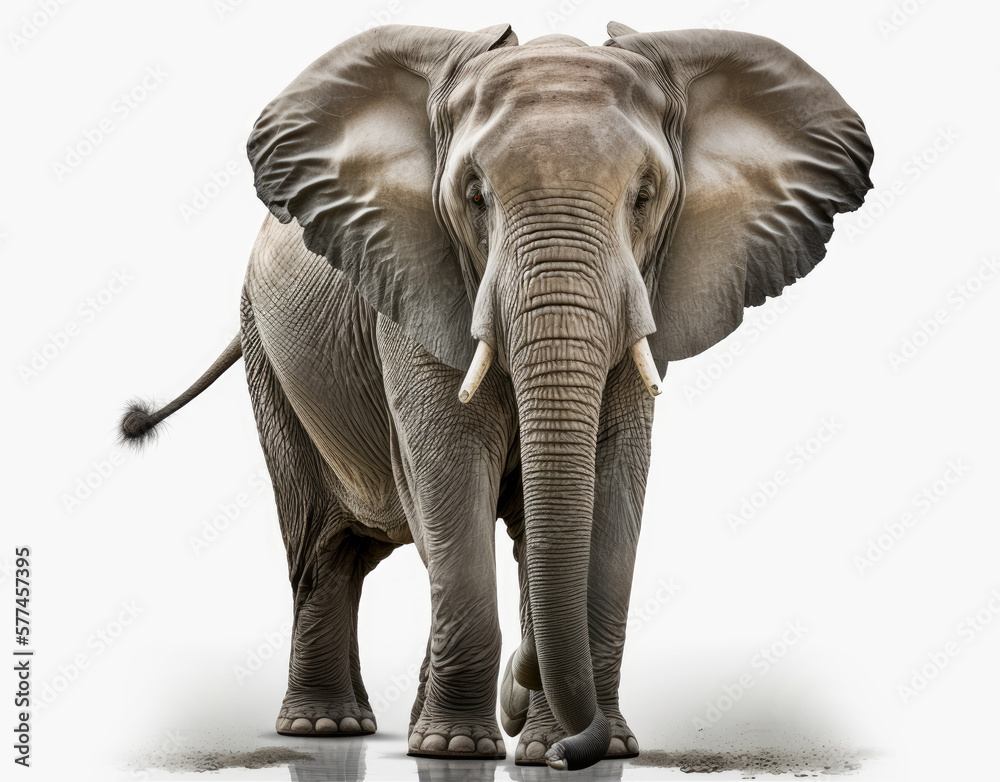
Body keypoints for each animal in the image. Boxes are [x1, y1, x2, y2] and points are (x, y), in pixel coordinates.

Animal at [120, 22, 873, 771]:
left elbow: (612, 485)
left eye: (646, 194)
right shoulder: (415, 285)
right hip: (270, 357)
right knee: (326, 546)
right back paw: (327, 728)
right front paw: (457, 748)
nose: (524, 688)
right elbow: (450, 475)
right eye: (474, 194)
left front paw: (577, 747)